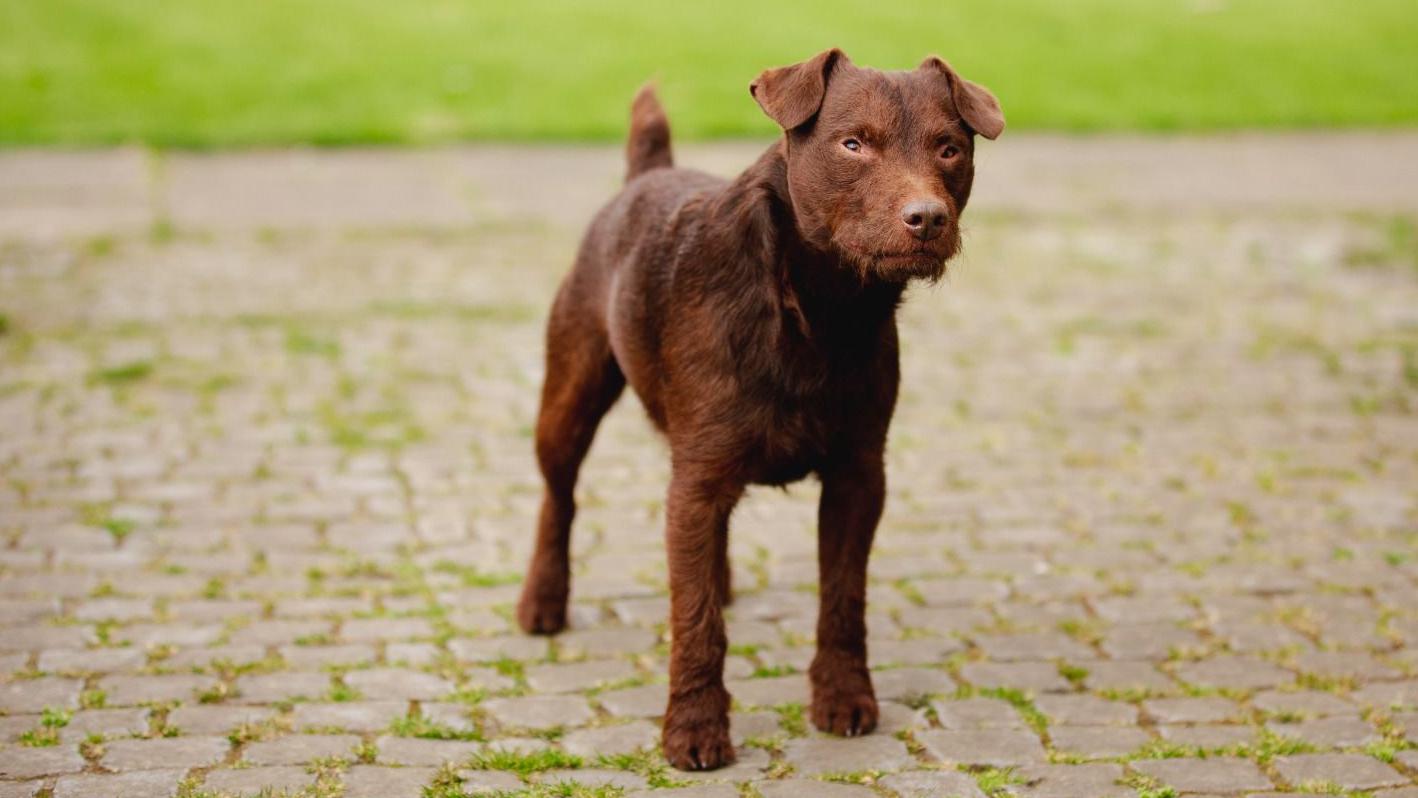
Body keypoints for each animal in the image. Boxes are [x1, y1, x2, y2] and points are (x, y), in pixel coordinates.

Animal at [518, 48, 998, 765]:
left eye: (949, 149)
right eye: (853, 144)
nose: (927, 218)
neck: (817, 307)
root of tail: (645, 175)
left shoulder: (858, 476)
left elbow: (842, 597)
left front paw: (843, 697)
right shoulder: (700, 474)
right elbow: (695, 621)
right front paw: (694, 728)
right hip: (571, 395)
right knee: (560, 494)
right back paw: (544, 601)